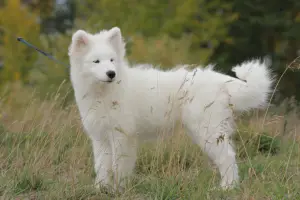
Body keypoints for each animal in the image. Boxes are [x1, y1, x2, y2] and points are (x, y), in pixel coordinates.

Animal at [68, 26, 274, 191]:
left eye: (111, 60)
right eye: (96, 61)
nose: (111, 73)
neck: (104, 93)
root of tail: (220, 80)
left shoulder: (122, 137)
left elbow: (120, 166)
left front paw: (118, 190)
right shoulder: (100, 138)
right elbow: (102, 167)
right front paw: (101, 189)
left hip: (208, 131)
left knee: (228, 157)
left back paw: (227, 188)